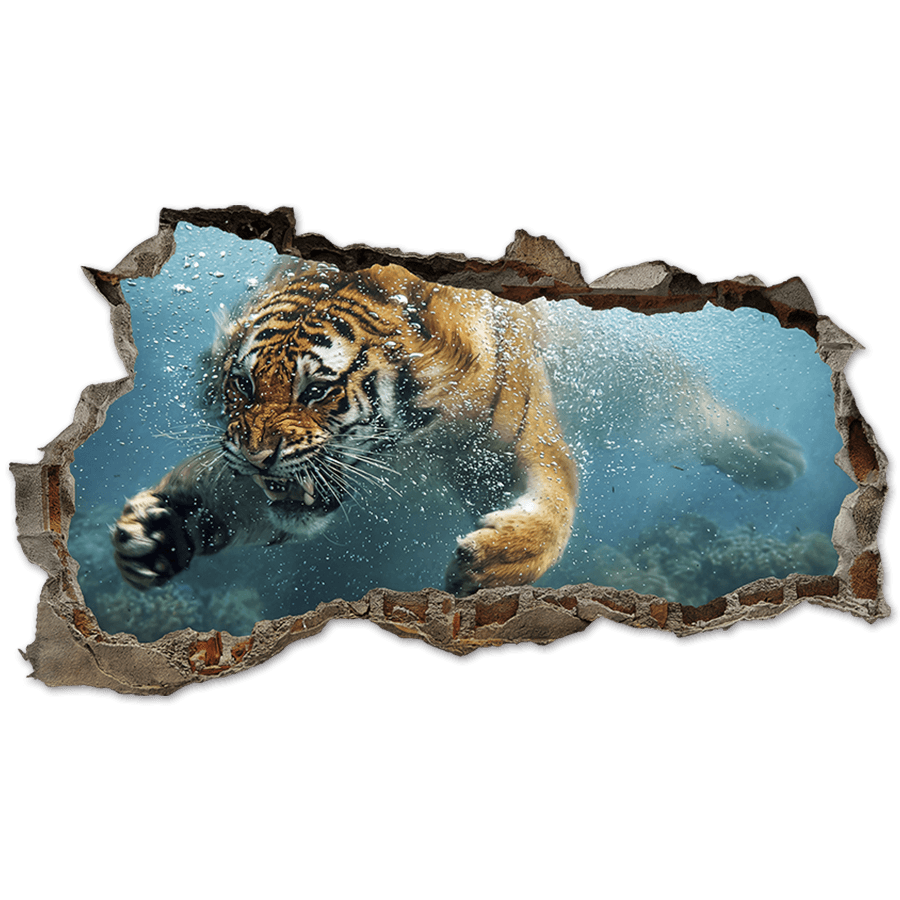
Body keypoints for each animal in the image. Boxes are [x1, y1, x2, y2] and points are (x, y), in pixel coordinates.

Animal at [111, 260, 806, 597]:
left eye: (318, 389)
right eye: (244, 385)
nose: (257, 458)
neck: (411, 443)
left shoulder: (518, 445)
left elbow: (558, 508)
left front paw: (492, 562)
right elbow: (233, 498)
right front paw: (158, 530)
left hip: (630, 362)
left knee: (691, 406)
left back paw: (778, 458)